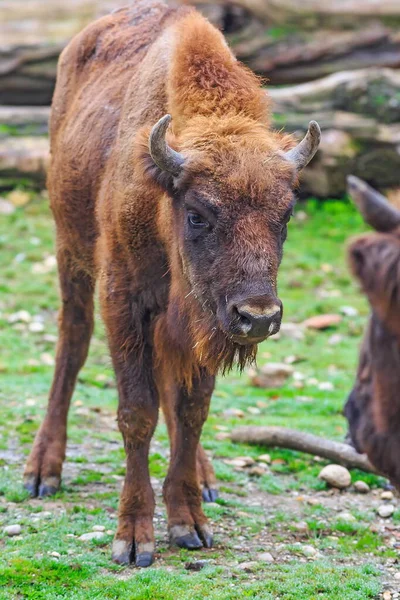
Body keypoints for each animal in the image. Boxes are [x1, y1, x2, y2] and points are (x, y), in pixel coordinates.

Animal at [23, 0, 320, 564]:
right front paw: (134, 537)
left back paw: (203, 477)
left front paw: (189, 521)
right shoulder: (124, 301)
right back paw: (42, 471)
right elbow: (136, 411)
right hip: (70, 252)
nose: (259, 317)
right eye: (199, 214)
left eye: (287, 214)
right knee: (72, 344)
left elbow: (191, 409)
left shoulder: (202, 322)